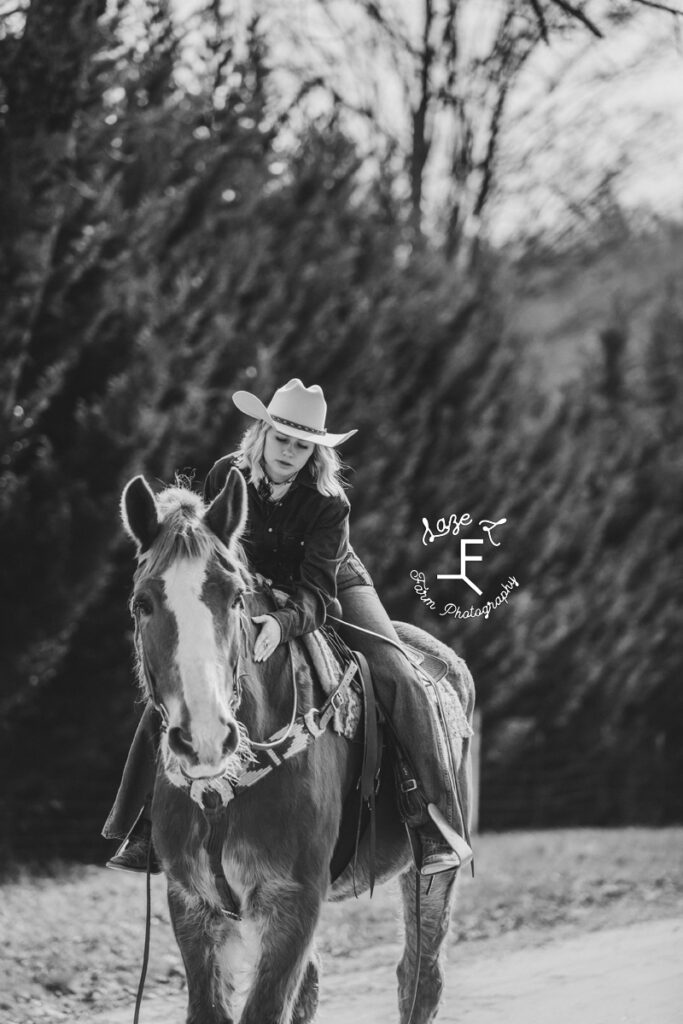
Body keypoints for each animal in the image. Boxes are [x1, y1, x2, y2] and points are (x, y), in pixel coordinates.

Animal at [121, 468, 475, 1024]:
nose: (205, 739)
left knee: (420, 976)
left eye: (236, 598)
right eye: (143, 603)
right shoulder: (192, 904)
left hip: (432, 876)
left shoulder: (293, 901)